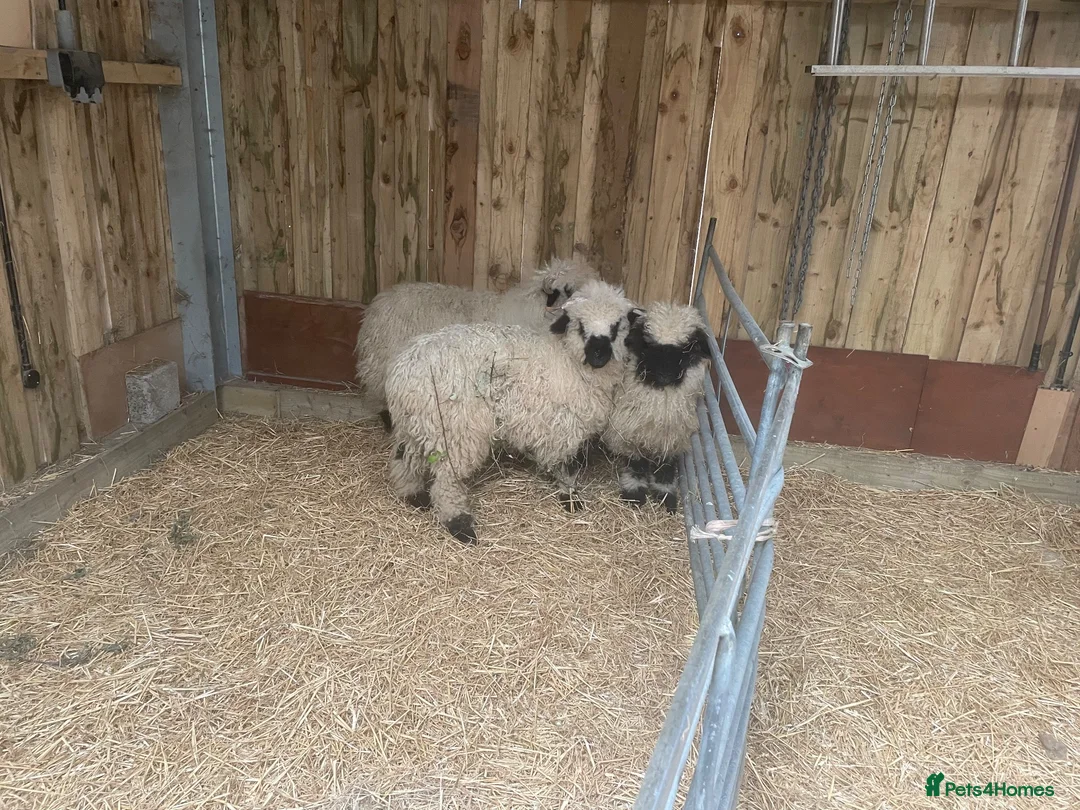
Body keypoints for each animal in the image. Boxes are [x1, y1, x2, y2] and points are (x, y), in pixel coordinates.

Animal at [385, 279, 634, 544]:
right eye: (580, 325)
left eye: (617, 326)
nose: (599, 354)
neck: (569, 359)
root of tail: (404, 370)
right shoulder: (564, 426)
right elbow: (566, 465)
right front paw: (570, 498)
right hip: (456, 431)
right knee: (447, 480)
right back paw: (460, 525)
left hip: (417, 423)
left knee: (403, 457)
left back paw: (413, 496)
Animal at [600, 301, 711, 512]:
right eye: (647, 346)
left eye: (687, 350)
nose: (664, 374)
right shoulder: (629, 431)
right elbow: (637, 464)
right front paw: (634, 493)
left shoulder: (671, 437)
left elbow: (665, 466)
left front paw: (665, 495)